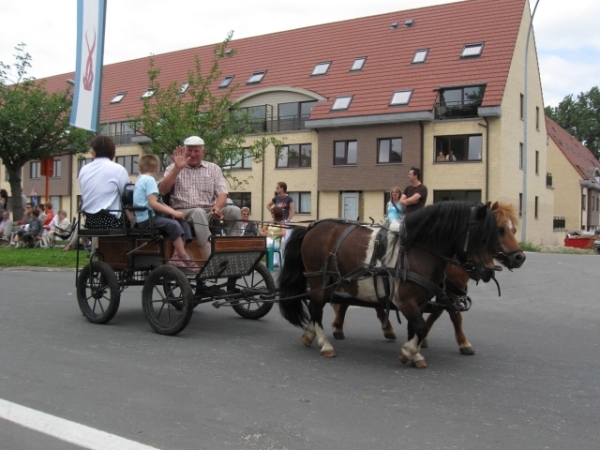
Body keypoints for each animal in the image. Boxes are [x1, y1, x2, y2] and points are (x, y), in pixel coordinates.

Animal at [278, 202, 500, 368]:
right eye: (480, 237)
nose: (489, 271)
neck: (415, 250)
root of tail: (311, 227)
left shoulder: (419, 301)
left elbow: (416, 327)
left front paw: (415, 354)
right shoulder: (404, 300)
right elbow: (421, 326)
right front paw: (407, 352)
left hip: (332, 281)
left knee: (319, 307)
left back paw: (310, 334)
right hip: (319, 279)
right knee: (316, 308)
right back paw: (325, 345)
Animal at [328, 201, 524, 356]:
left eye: (514, 229)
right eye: (500, 230)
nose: (519, 257)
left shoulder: (440, 291)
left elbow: (438, 312)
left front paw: (422, 338)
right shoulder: (446, 291)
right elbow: (454, 315)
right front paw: (463, 343)